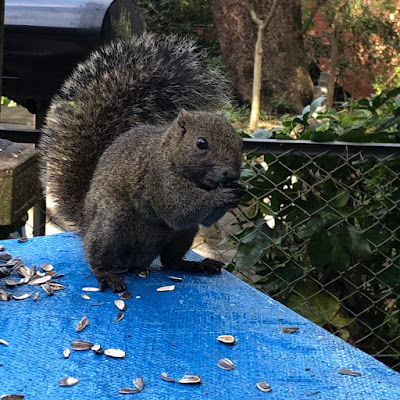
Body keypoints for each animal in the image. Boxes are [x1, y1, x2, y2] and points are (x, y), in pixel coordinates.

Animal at [39, 33, 244, 290]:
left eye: (239, 139)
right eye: (201, 143)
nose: (232, 174)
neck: (171, 156)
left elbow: (204, 218)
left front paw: (239, 191)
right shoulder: (157, 177)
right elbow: (179, 210)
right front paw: (223, 195)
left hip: (182, 235)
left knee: (170, 261)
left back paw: (196, 265)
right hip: (111, 223)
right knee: (98, 257)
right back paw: (106, 274)